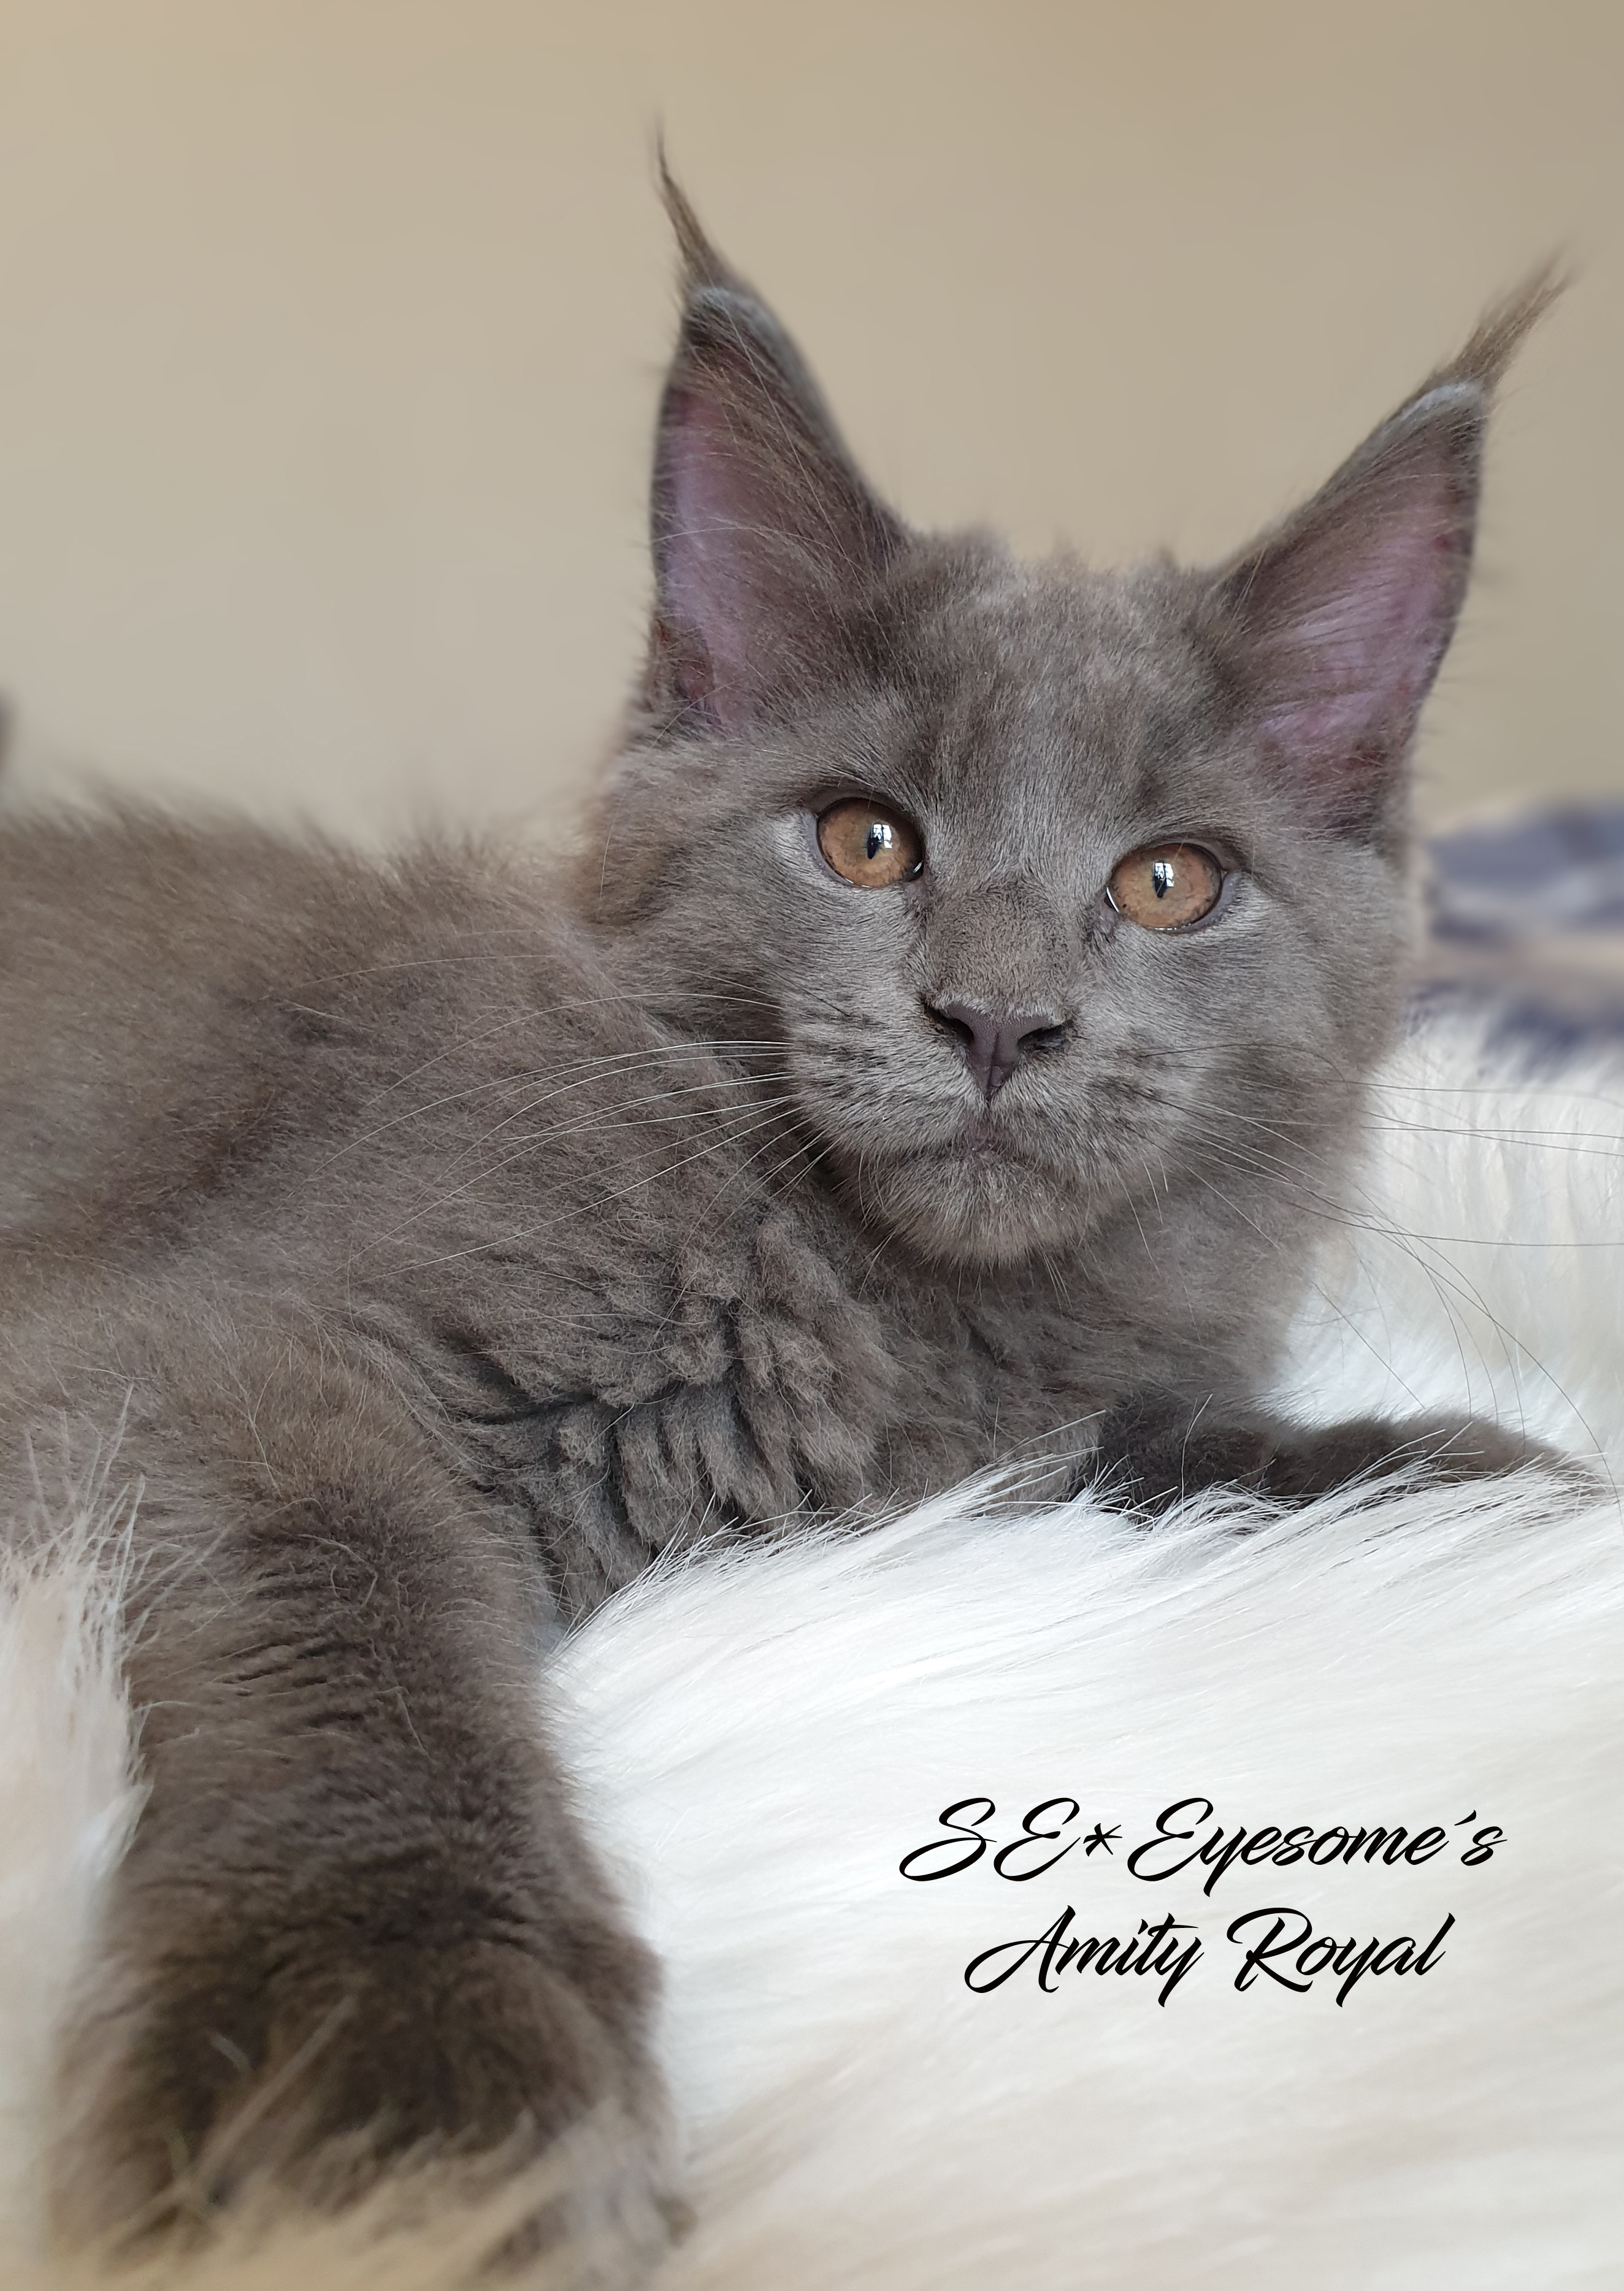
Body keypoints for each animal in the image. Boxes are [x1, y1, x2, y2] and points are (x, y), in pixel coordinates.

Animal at [0, 174, 1548, 2273]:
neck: (903, 1316)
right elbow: (355, 1612)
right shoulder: (213, 1349)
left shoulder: (1025, 1453)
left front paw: (1479, 1478)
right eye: (864, 841)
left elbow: (1191, 1446)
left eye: (1169, 883)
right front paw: (400, 2082)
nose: (997, 1020)